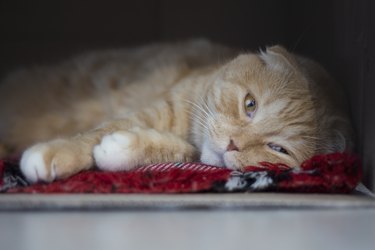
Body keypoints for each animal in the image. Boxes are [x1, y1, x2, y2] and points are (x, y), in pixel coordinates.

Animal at [0, 39, 354, 184]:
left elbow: (171, 149)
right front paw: (60, 152)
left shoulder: (187, 149)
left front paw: (121, 149)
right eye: (250, 104)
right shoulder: (157, 108)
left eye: (278, 149)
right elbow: (94, 134)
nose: (233, 144)